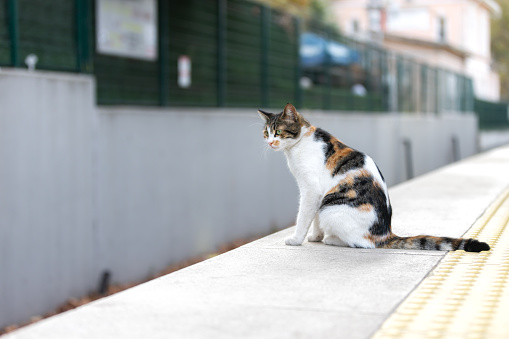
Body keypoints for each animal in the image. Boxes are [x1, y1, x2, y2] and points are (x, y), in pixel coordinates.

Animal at [260, 103, 490, 252]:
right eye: (266, 133)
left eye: (278, 132)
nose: (270, 143)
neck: (299, 143)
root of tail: (386, 233)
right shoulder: (317, 193)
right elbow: (313, 219)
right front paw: (315, 236)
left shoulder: (311, 190)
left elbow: (304, 217)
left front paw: (296, 239)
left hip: (331, 208)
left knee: (362, 243)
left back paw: (332, 239)